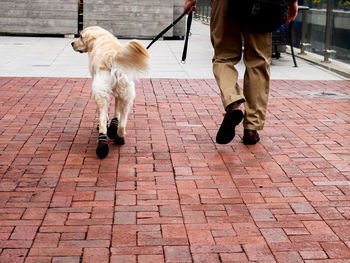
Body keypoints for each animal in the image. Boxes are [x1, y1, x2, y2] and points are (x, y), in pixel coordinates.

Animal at [71, 26, 149, 159]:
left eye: (81, 36)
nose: (72, 43)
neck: (101, 36)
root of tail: (111, 57)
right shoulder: (118, 94)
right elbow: (116, 112)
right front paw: (113, 126)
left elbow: (105, 114)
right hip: (126, 95)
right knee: (123, 122)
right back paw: (119, 137)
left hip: (100, 93)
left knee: (102, 118)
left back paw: (102, 146)